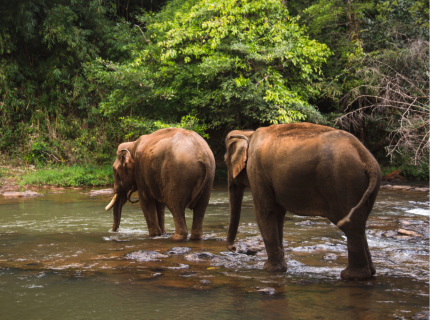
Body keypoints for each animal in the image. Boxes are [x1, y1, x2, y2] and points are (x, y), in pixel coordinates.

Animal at [223, 122, 382, 280]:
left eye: (225, 160)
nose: (233, 248)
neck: (249, 133)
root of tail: (365, 156)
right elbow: (278, 214)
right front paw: (280, 268)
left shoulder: (257, 170)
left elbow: (266, 212)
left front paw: (270, 269)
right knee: (360, 224)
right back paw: (370, 273)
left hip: (344, 182)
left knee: (351, 226)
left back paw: (351, 275)